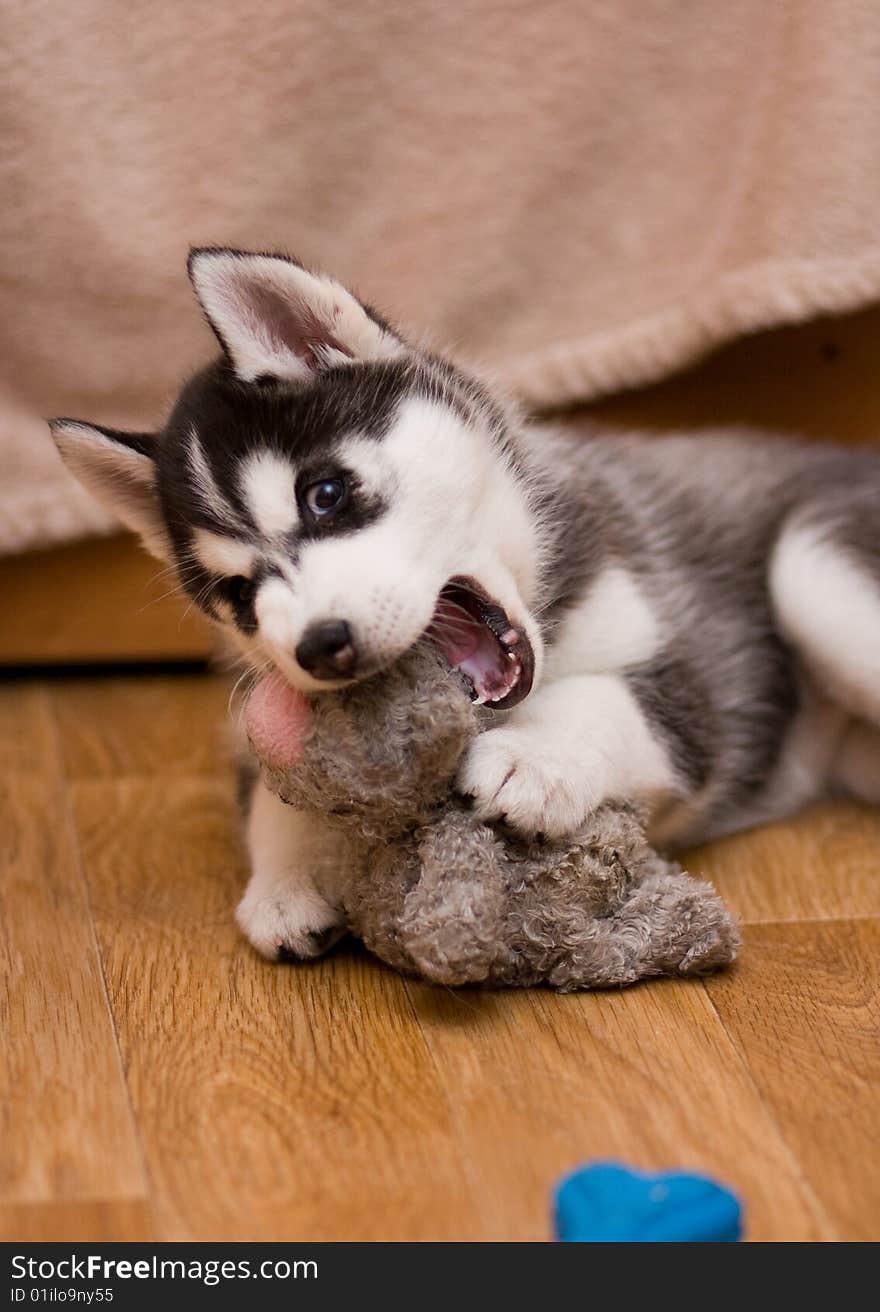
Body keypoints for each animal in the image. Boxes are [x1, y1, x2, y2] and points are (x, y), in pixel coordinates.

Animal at [51, 250, 880, 960]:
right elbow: (272, 789)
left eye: (326, 494)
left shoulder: (692, 681)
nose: (319, 647)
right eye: (239, 593)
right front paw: (286, 878)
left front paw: (534, 758)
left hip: (810, 574)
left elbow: (606, 703)